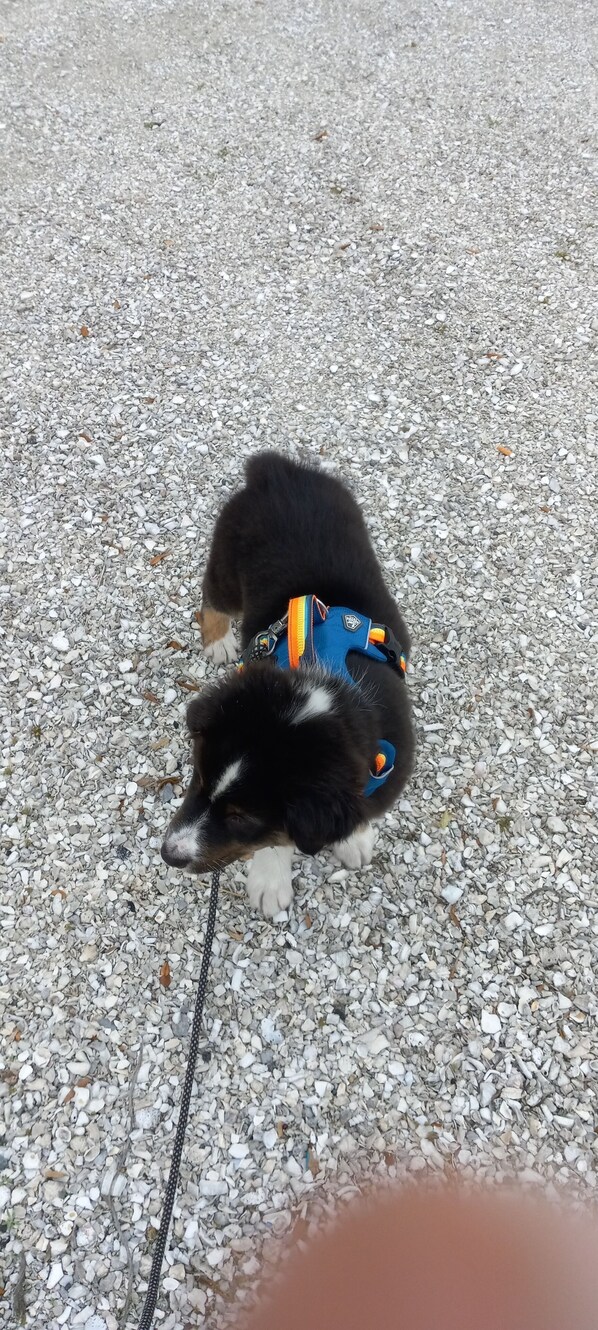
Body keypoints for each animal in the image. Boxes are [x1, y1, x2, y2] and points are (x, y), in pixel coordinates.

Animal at [161, 453, 415, 916]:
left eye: (241, 817)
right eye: (198, 779)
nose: (169, 855)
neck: (323, 689)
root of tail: (277, 470)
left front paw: (353, 839)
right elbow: (276, 843)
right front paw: (270, 882)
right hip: (227, 565)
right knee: (212, 596)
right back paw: (219, 641)